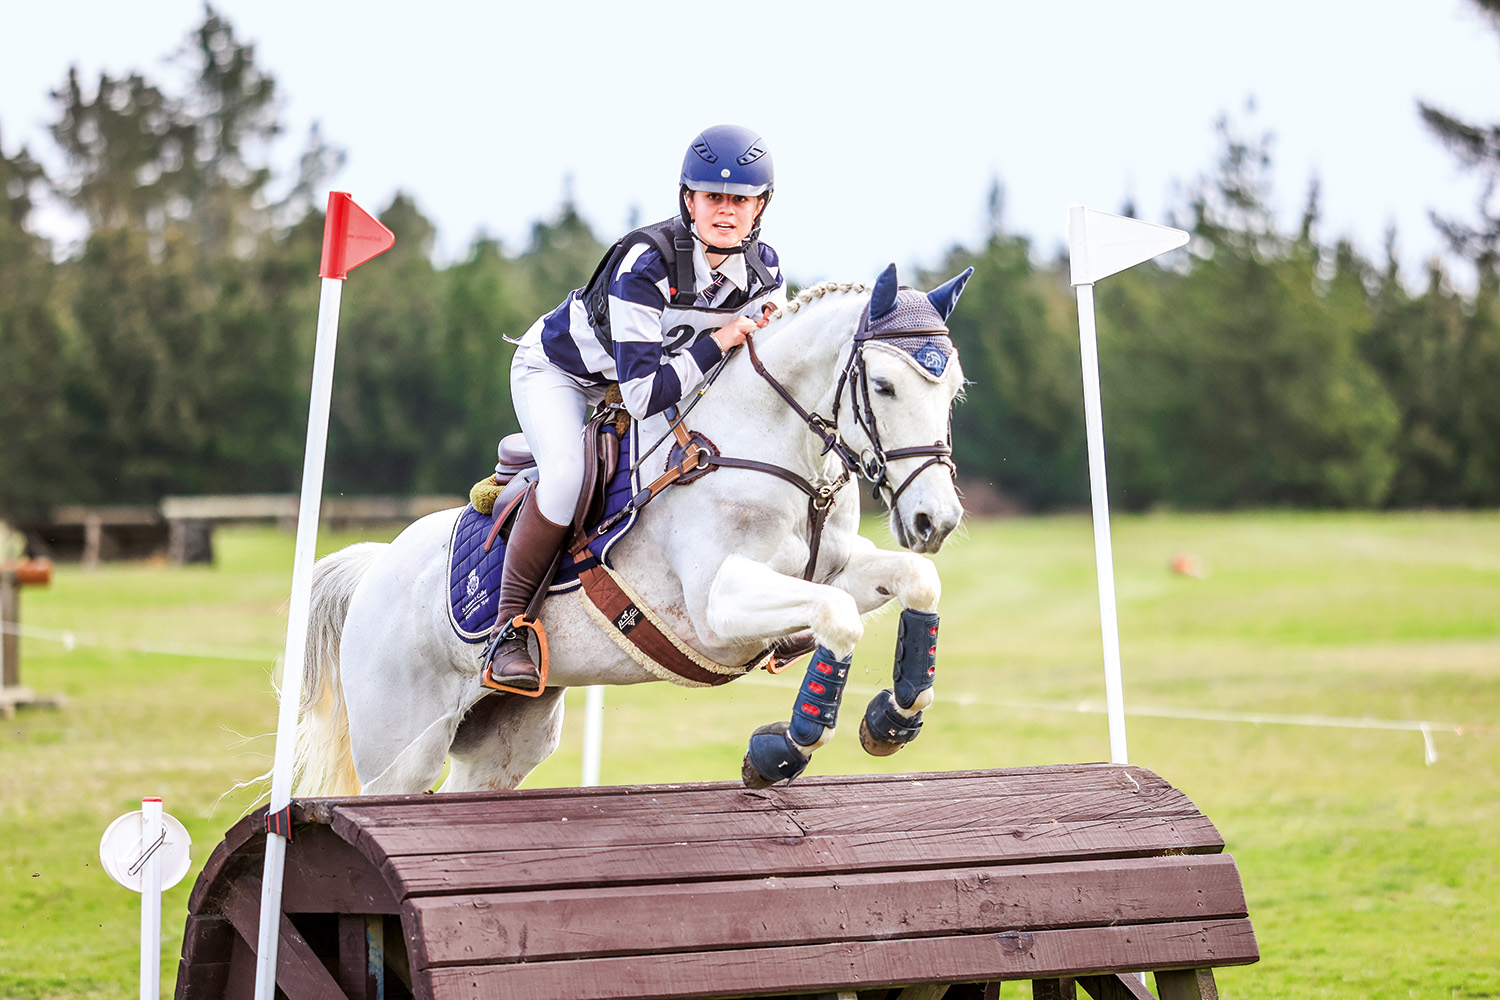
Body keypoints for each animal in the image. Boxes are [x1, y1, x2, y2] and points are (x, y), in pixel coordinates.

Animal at [292, 265, 972, 797]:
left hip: (507, 739)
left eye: (954, 390)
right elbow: (838, 616)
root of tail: (376, 567)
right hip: (401, 752)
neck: (775, 451)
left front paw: (893, 717)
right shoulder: (714, 610)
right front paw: (783, 750)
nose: (934, 520)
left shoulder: (836, 568)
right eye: (883, 386)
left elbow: (918, 580)